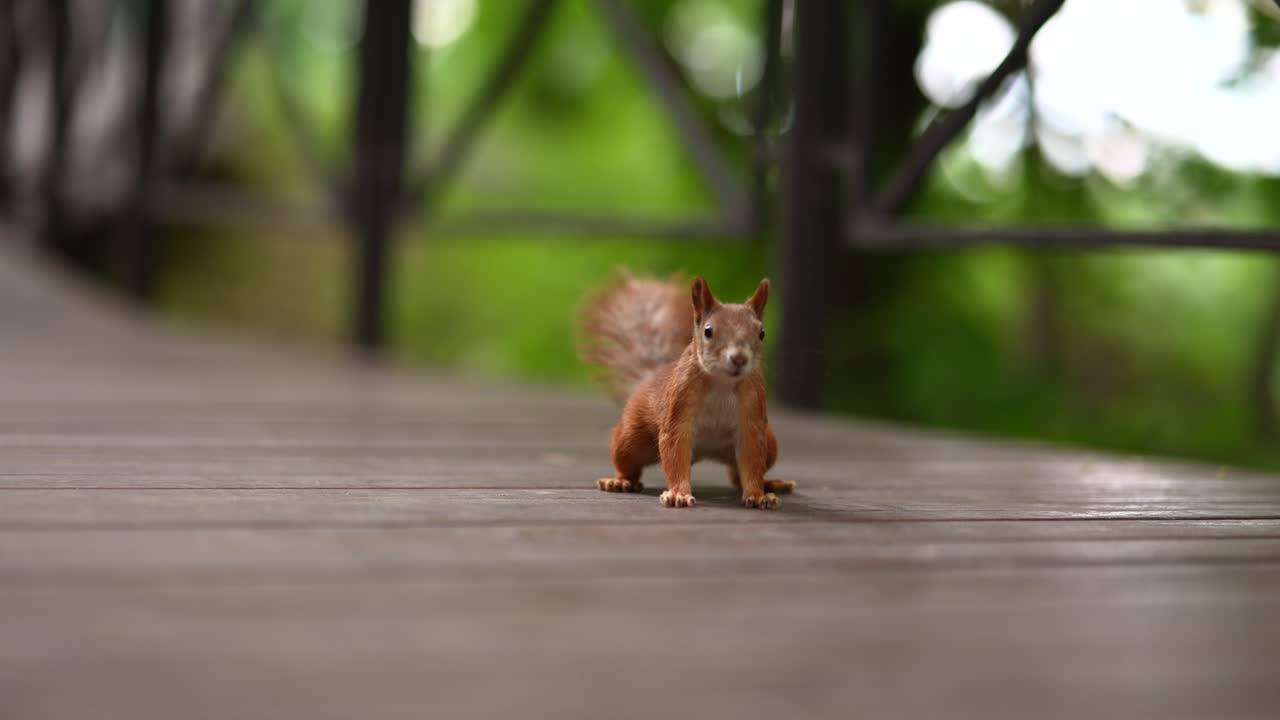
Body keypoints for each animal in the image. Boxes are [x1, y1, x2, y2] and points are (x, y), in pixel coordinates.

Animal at [579, 271, 795, 509]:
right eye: (708, 331)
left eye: (762, 333)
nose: (739, 359)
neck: (722, 382)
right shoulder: (679, 407)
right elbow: (675, 450)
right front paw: (678, 494)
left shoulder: (753, 415)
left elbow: (753, 460)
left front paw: (757, 495)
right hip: (631, 438)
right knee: (627, 462)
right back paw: (619, 481)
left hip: (770, 443)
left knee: (737, 474)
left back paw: (771, 483)